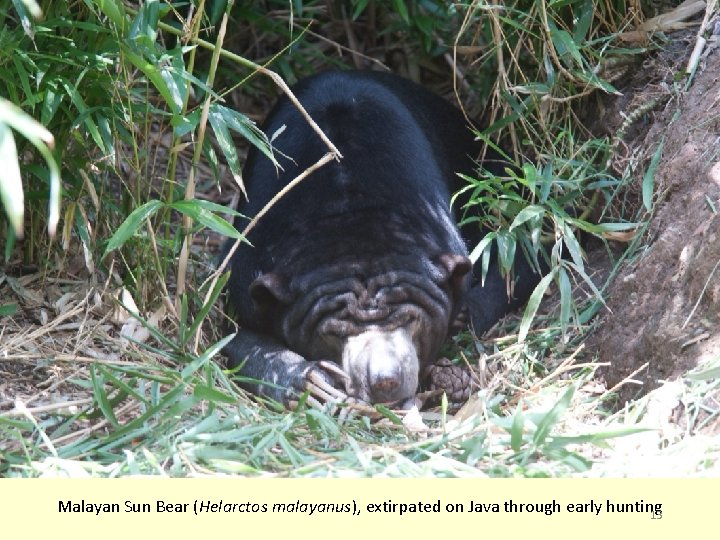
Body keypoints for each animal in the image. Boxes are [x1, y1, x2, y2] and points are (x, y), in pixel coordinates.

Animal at [223, 70, 540, 409]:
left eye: (412, 320)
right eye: (334, 333)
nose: (385, 380)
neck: (347, 207)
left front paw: (461, 319)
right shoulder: (246, 261)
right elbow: (232, 332)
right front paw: (308, 381)